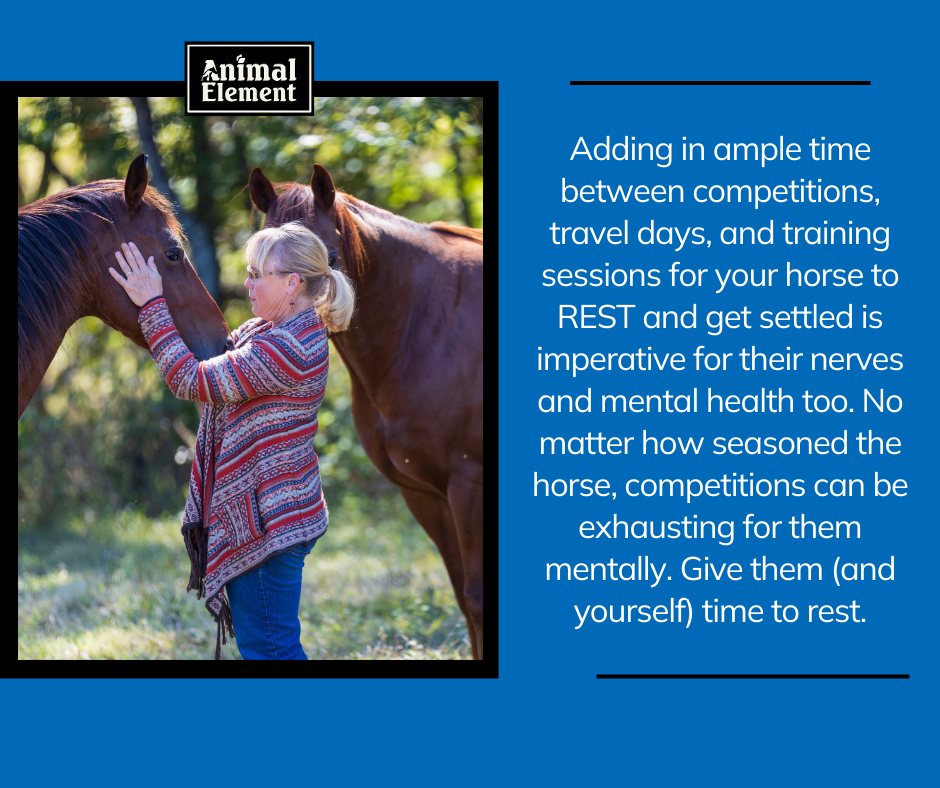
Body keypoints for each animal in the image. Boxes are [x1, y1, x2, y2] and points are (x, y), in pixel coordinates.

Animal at [250, 165, 484, 660]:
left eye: (332, 256)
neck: (425, 325)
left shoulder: (469, 485)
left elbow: (477, 596)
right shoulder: (426, 495)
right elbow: (463, 594)